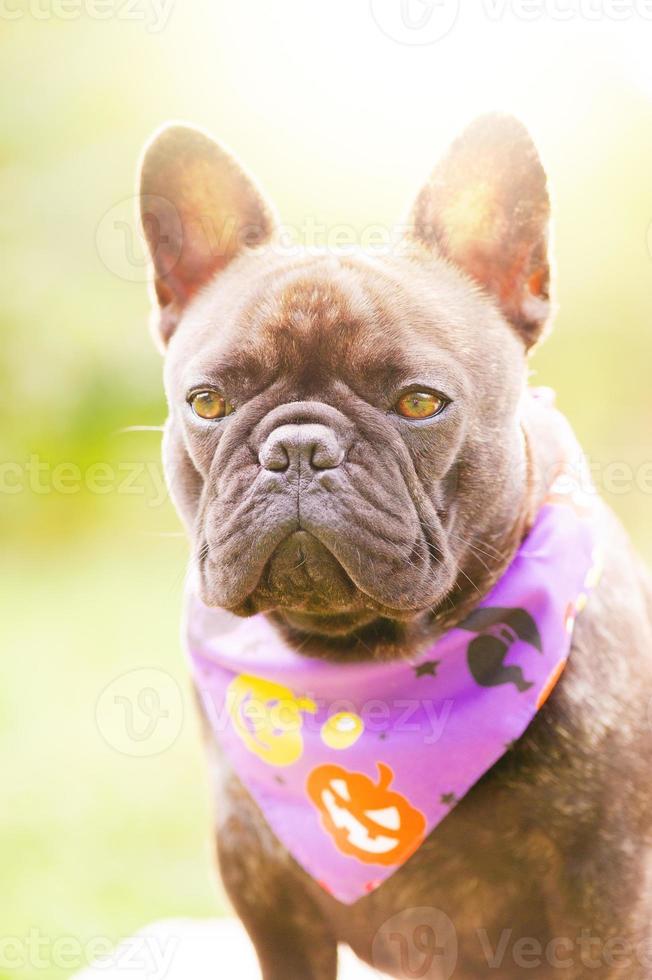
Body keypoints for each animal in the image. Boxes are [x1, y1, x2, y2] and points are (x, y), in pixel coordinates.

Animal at [138, 117, 652, 980]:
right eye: (207, 403)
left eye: (419, 403)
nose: (298, 449)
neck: (357, 666)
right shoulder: (264, 885)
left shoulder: (607, 889)